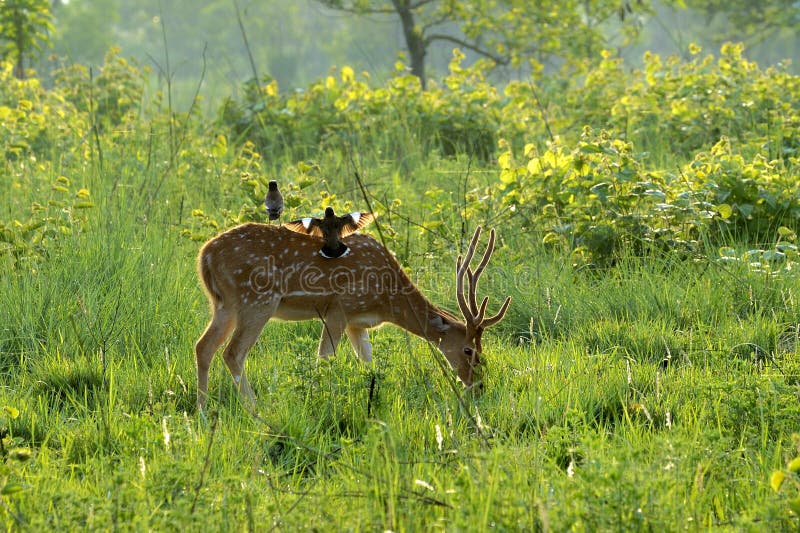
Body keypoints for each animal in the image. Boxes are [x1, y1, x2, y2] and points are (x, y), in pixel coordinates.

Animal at [197, 222, 516, 410]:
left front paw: (374, 401)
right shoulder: (339, 307)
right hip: (256, 299)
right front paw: (318, 402)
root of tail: (205, 256)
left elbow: (369, 365)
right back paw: (256, 410)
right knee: (232, 352)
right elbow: (324, 360)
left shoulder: (356, 323)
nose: (478, 385)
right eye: (469, 349)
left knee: (204, 346)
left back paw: (202, 411)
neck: (387, 299)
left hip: (224, 305)